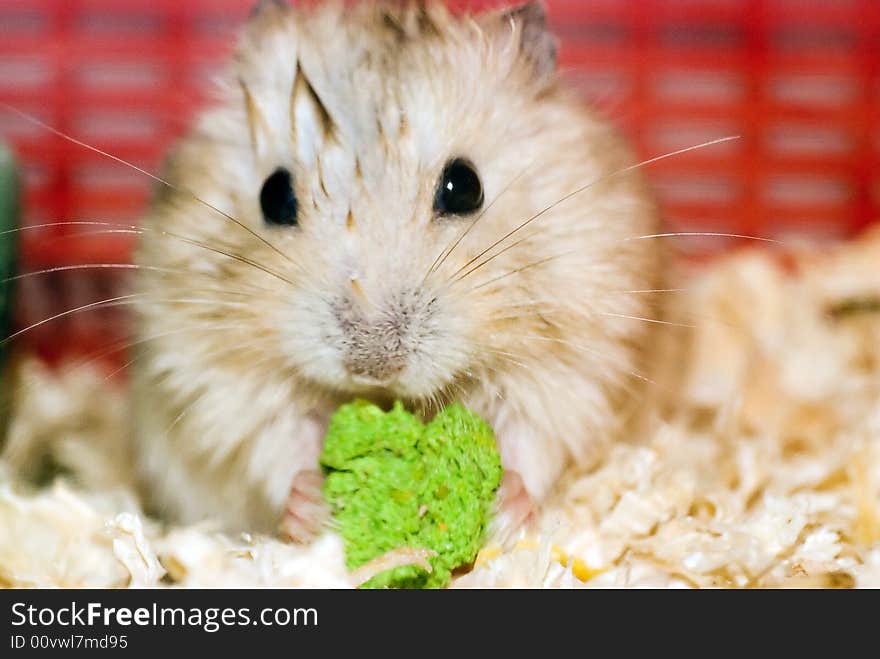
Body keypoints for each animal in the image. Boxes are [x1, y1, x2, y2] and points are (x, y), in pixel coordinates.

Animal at [129, 1, 660, 540]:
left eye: (465, 185)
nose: (373, 364)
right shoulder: (212, 377)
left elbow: (530, 438)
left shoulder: (574, 362)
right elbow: (276, 443)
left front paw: (504, 513)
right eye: (273, 196)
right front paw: (313, 509)